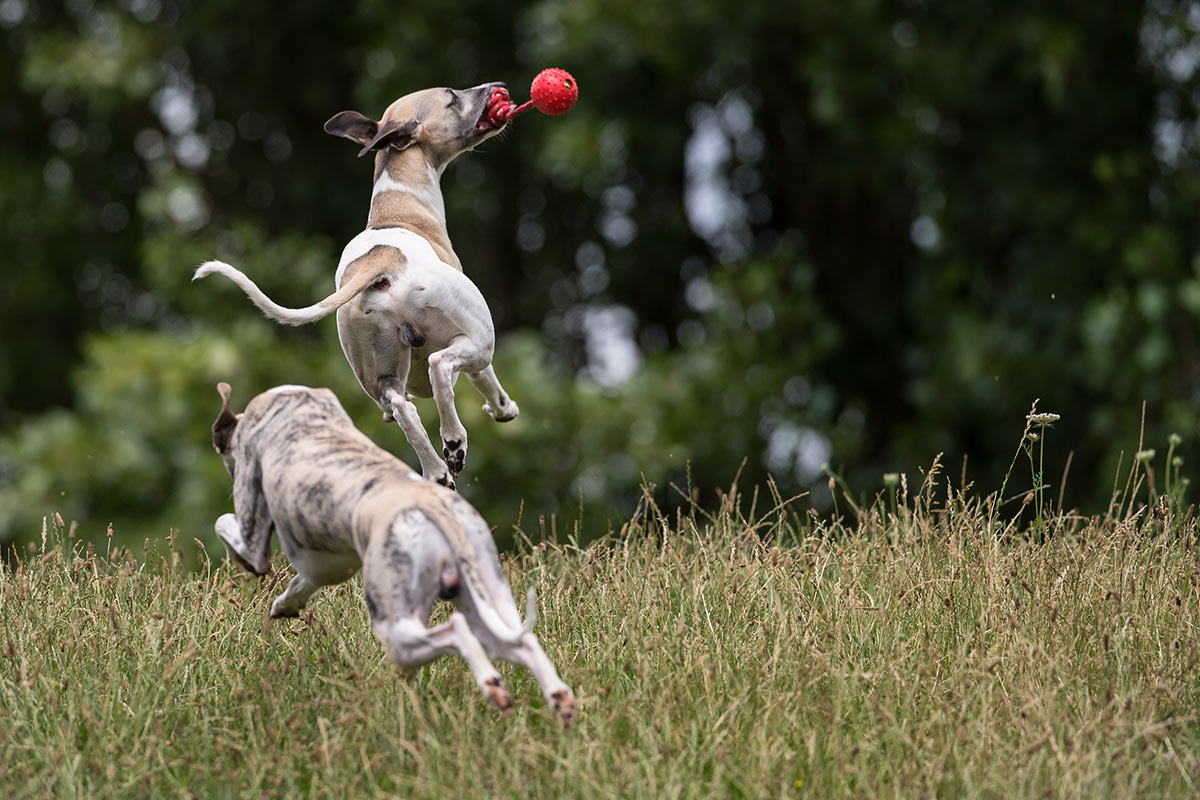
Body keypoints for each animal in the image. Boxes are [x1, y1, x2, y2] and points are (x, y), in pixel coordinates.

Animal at [194, 82, 520, 490]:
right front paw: (504, 408)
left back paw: (436, 470)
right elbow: (486, 381)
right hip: (477, 339)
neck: (398, 202)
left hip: (378, 374)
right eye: (451, 97)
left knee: (401, 407)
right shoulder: (476, 348)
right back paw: (453, 441)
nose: (497, 88)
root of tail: (379, 264)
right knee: (439, 365)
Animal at [209, 382, 575, 724]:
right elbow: (304, 582)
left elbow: (227, 526)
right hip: (487, 595)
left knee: (456, 631)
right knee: (520, 642)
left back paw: (493, 686)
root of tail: (433, 505)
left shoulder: (255, 535)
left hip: (396, 627)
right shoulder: (327, 564)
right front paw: (286, 605)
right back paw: (560, 699)